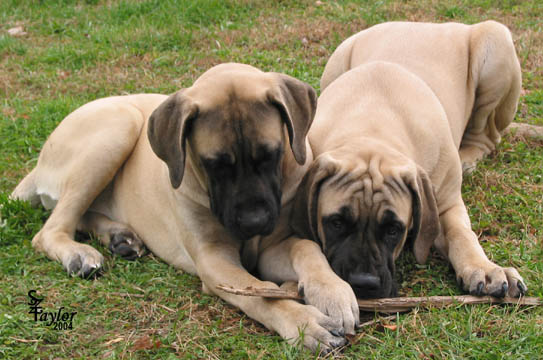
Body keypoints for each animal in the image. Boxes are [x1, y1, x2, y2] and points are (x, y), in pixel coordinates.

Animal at [11, 62, 356, 352]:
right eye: (214, 164)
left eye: (272, 154)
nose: (254, 222)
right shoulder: (214, 261)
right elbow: (260, 292)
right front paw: (303, 322)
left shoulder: (272, 246)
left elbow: (306, 248)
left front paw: (332, 291)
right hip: (118, 126)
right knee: (50, 230)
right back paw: (79, 254)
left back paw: (120, 237)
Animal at [294, 21, 528, 300]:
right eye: (337, 223)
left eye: (394, 229)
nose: (364, 283)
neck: (372, 130)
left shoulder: (445, 204)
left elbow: (462, 234)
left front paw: (485, 266)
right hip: (337, 59)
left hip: (496, 38)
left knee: (489, 135)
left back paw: (468, 158)